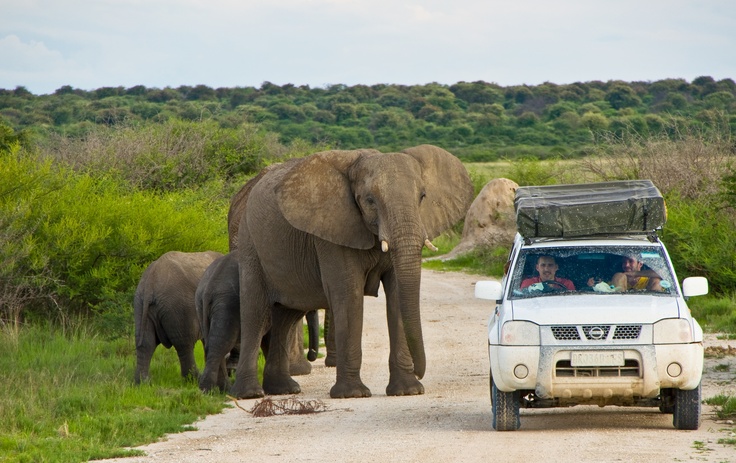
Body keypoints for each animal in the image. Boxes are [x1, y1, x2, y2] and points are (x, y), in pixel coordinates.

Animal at [133, 250, 223, 384]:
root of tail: (151, 281)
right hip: (178, 305)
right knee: (185, 344)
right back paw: (194, 379)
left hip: (140, 303)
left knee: (146, 343)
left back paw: (143, 382)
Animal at [195, 252, 321, 392]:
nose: (311, 354)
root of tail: (208, 288)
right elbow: (270, 336)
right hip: (228, 304)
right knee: (222, 343)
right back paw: (210, 389)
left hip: (202, 305)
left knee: (212, 344)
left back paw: (220, 389)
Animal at [229, 144, 474, 399]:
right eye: (370, 200)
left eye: (423, 197)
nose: (420, 371)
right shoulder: (332, 232)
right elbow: (349, 295)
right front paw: (352, 394)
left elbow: (397, 295)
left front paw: (408, 391)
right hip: (249, 244)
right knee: (256, 313)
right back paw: (249, 394)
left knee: (286, 317)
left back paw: (284, 389)